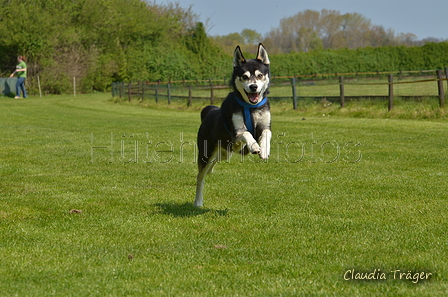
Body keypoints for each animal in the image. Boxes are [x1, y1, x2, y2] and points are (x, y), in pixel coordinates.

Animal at [194, 43, 272, 206]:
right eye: (245, 76)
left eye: (260, 75)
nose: (253, 87)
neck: (250, 107)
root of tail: (210, 111)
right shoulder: (236, 134)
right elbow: (246, 133)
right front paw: (255, 146)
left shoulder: (265, 126)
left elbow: (266, 133)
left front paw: (264, 149)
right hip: (206, 153)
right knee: (200, 176)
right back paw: (198, 201)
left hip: (225, 152)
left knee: (216, 160)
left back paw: (211, 170)